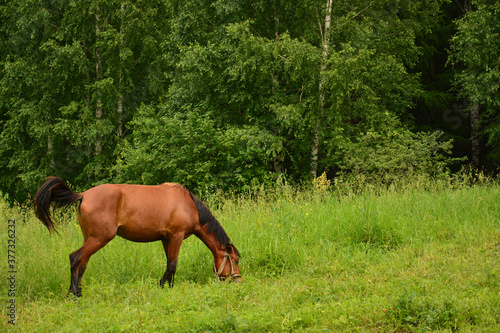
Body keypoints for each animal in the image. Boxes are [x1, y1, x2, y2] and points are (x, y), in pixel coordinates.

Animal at [33, 176, 240, 296]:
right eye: (236, 260)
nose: (238, 281)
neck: (188, 205)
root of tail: (83, 195)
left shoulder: (166, 239)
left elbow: (169, 264)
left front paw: (166, 286)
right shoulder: (176, 237)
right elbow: (172, 265)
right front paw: (164, 286)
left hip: (89, 238)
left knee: (82, 263)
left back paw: (76, 293)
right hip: (99, 238)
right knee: (75, 258)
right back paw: (74, 295)